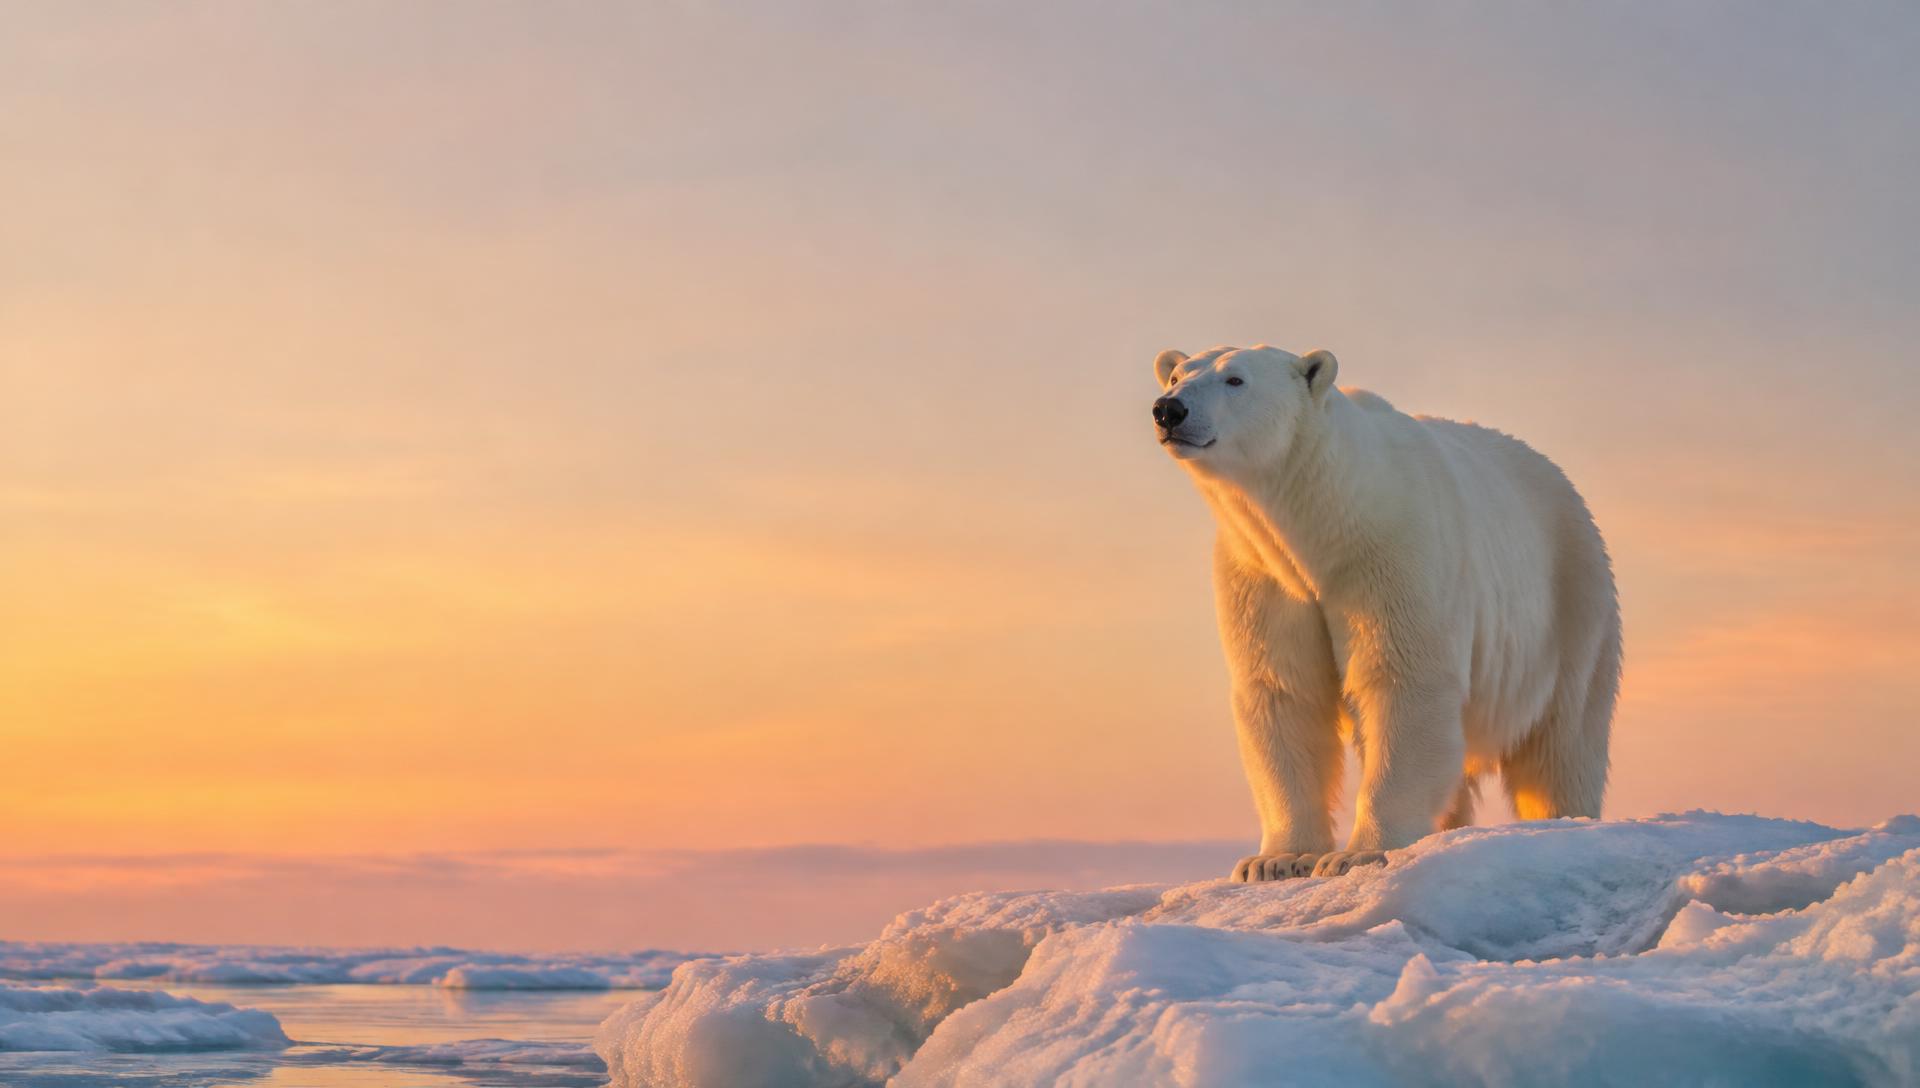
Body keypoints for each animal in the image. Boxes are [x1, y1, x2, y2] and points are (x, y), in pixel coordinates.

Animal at [1151, 345, 1620, 881]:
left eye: (1235, 379)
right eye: (1176, 374)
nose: (1169, 409)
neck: (1326, 514)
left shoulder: (1389, 551)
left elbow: (1403, 682)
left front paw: (1357, 853)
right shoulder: (1264, 573)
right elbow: (1284, 691)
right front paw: (1275, 861)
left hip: (1572, 600)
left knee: (1563, 739)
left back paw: (1562, 821)